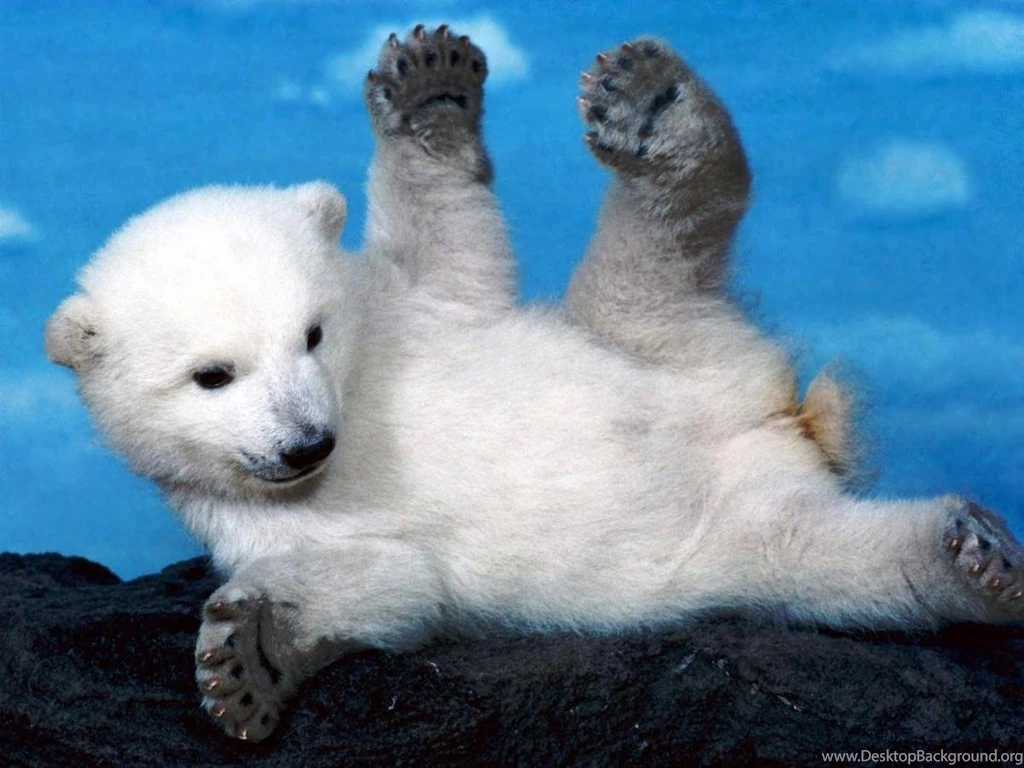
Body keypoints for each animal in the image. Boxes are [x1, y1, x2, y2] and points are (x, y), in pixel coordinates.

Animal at [46, 26, 1024, 743]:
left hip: (643, 341)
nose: (307, 443)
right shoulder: (251, 513)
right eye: (211, 376)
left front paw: (429, 89)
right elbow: (383, 580)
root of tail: (778, 419)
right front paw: (248, 654)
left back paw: (653, 104)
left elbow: (453, 248)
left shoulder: (416, 312)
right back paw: (972, 556)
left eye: (313, 334)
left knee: (659, 245)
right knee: (839, 564)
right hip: (734, 522)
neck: (357, 405)